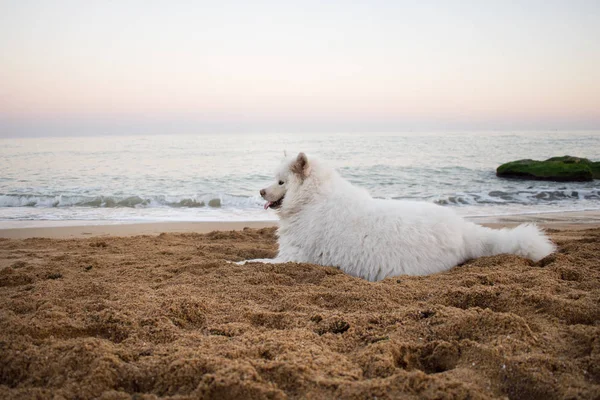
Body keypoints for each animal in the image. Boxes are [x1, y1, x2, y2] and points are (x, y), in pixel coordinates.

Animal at [246, 152, 556, 282]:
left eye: (281, 182)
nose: (260, 191)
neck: (312, 199)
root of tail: (464, 229)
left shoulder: (294, 258)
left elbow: (252, 262)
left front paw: (236, 262)